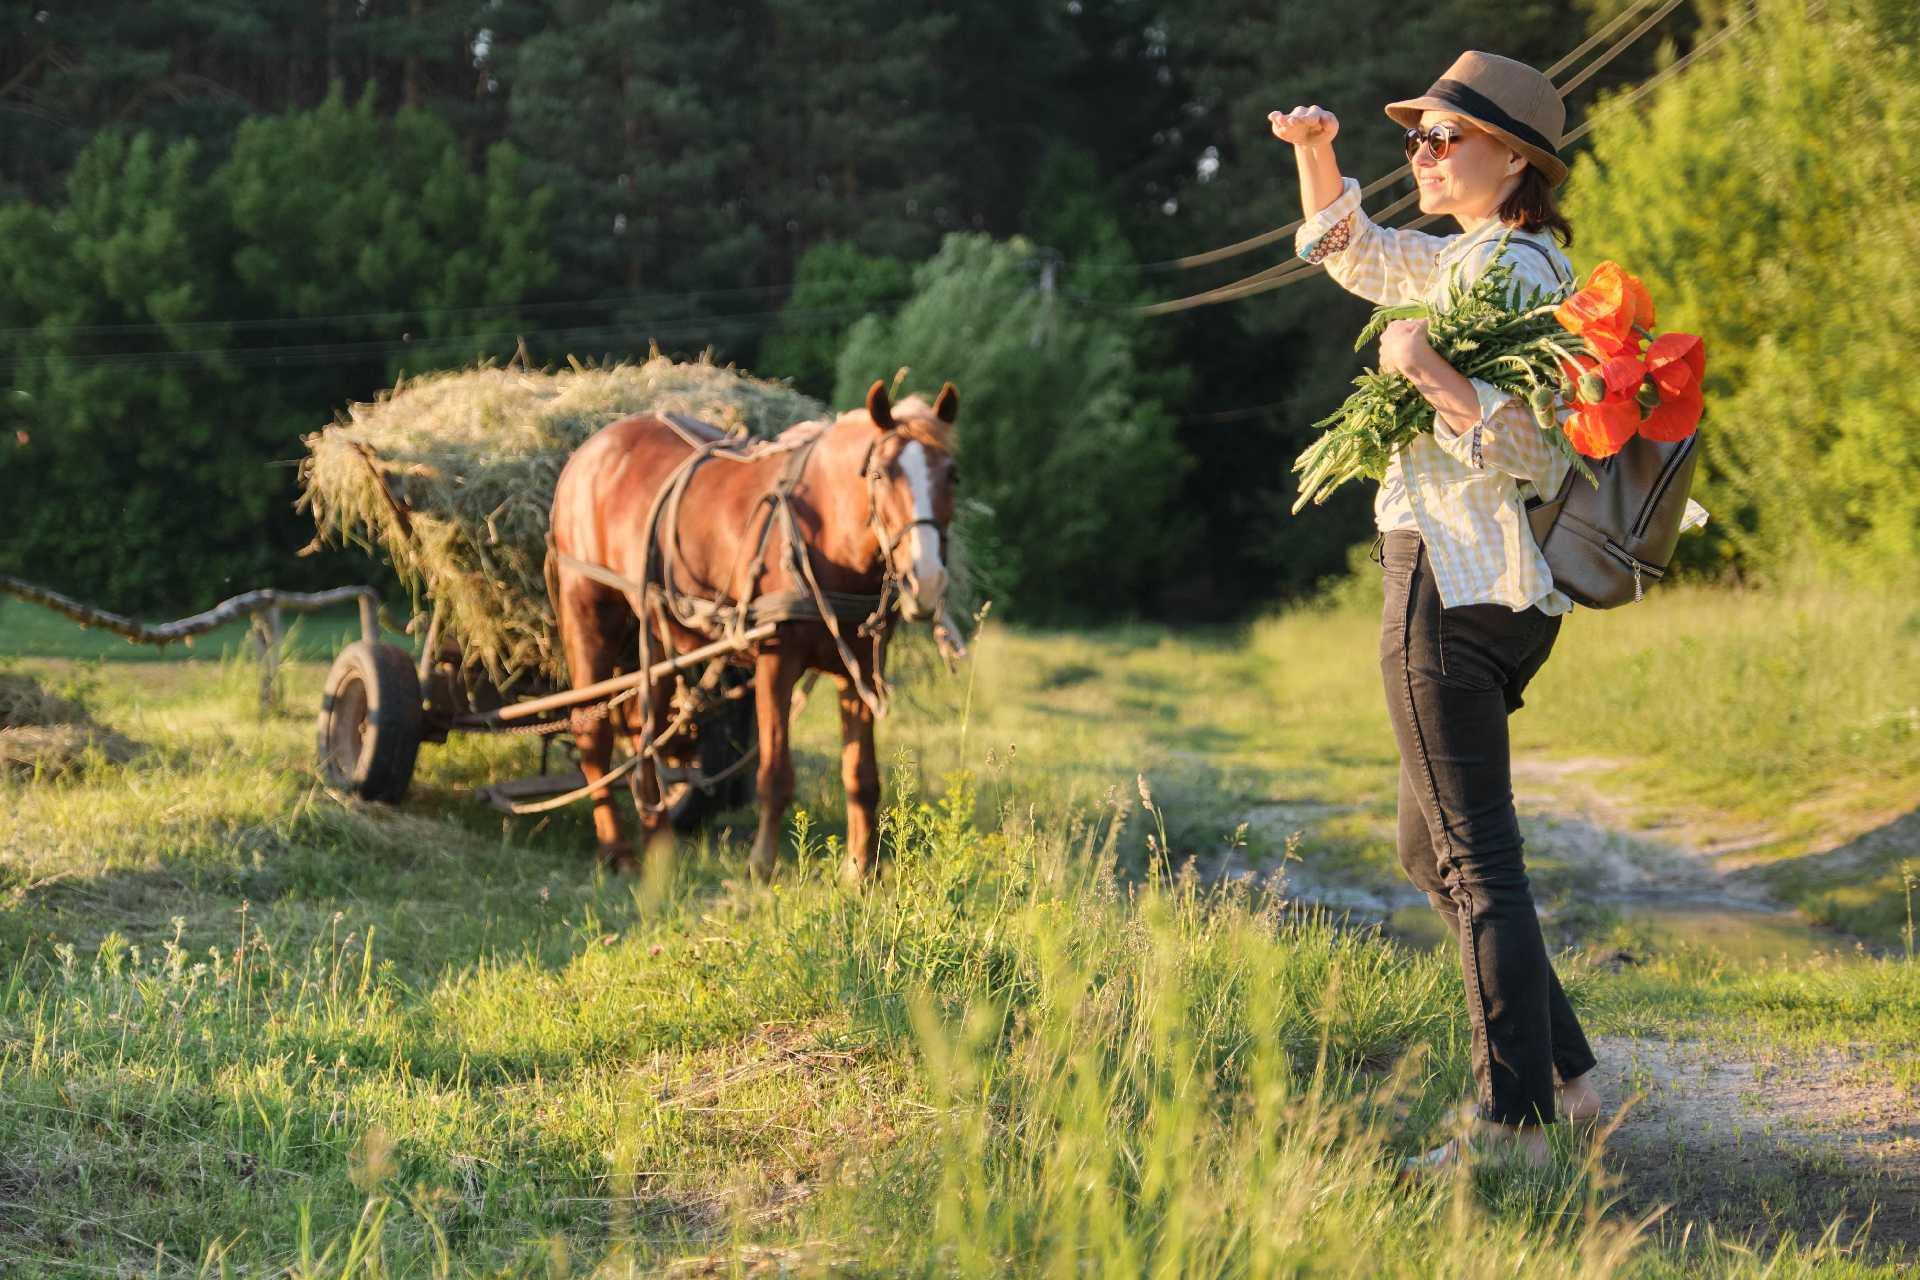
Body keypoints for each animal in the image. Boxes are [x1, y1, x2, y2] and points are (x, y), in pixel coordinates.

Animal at [545, 378, 956, 882]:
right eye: (881, 475)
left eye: (953, 475)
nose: (927, 578)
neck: (822, 530)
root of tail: (589, 451)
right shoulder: (776, 662)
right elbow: (774, 773)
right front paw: (762, 865)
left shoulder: (859, 668)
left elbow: (861, 776)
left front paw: (862, 870)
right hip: (587, 609)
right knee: (594, 733)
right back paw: (616, 849)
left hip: (656, 633)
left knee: (647, 730)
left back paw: (659, 842)